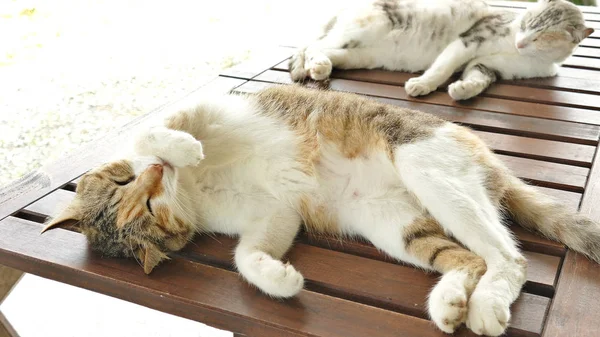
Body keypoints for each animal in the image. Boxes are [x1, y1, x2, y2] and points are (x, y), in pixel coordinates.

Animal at [42, 86, 600, 336]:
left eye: (134, 188)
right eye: (152, 213)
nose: (159, 173)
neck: (197, 188)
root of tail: (489, 157)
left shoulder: (212, 107)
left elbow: (151, 127)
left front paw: (179, 147)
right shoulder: (273, 215)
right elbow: (245, 257)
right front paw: (281, 280)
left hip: (427, 167)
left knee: (509, 256)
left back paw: (485, 306)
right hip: (394, 224)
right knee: (474, 258)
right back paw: (450, 303)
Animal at [290, 0, 596, 99]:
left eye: (542, 37)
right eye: (527, 23)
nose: (521, 42)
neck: (516, 52)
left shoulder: (488, 66)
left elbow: (477, 80)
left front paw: (462, 90)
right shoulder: (469, 41)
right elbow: (442, 68)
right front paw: (422, 85)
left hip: (360, 54)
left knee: (330, 52)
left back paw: (321, 68)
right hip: (360, 30)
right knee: (314, 45)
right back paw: (314, 65)